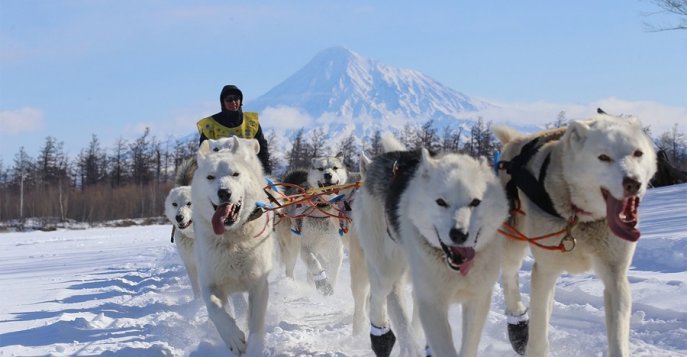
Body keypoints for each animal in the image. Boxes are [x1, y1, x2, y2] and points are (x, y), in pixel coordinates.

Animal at [191, 136, 274, 354]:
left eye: (235, 174)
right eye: (210, 177)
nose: (224, 192)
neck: (233, 238)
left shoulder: (259, 284)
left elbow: (256, 324)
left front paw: (254, 349)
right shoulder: (209, 282)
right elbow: (216, 310)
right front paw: (234, 338)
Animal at [352, 134, 508, 356]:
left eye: (475, 202)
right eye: (440, 202)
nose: (459, 234)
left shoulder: (477, 299)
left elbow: (468, 345)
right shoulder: (432, 303)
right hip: (385, 268)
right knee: (378, 297)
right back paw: (381, 335)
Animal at [494, 112, 660, 356]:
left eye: (637, 153)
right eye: (603, 157)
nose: (633, 183)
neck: (581, 218)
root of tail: (515, 141)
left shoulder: (615, 277)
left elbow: (618, 339)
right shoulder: (545, 271)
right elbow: (538, 335)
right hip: (512, 247)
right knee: (510, 280)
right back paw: (518, 326)